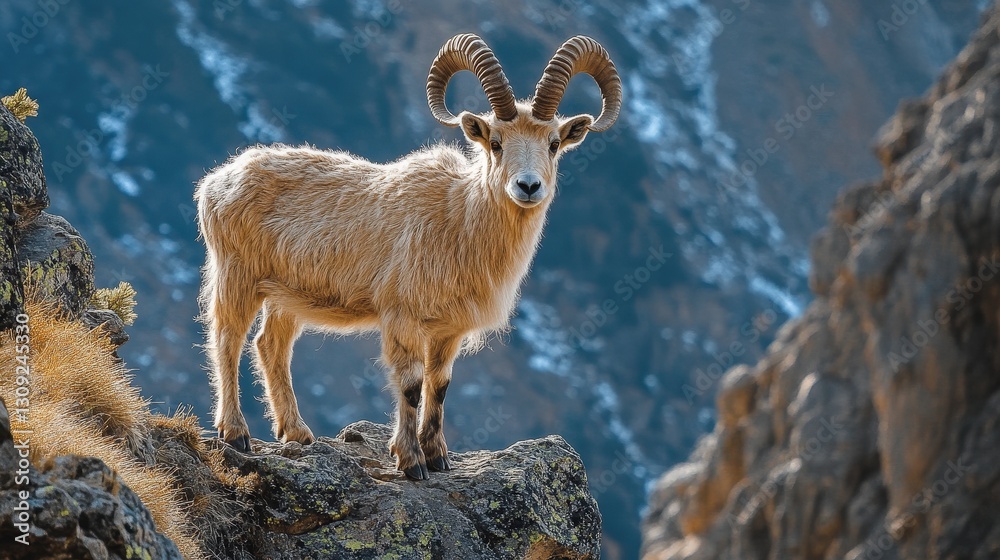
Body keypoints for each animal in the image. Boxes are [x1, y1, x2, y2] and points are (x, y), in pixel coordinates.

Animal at [195, 34, 621, 479]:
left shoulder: (448, 330)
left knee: (270, 345)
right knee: (227, 338)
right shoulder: (403, 315)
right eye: (496, 143)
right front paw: (411, 460)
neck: (458, 218)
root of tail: (215, 182)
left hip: (287, 294)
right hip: (236, 272)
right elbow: (412, 385)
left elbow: (441, 384)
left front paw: (438, 457)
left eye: (554, 144)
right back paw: (235, 432)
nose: (528, 186)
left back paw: (297, 433)